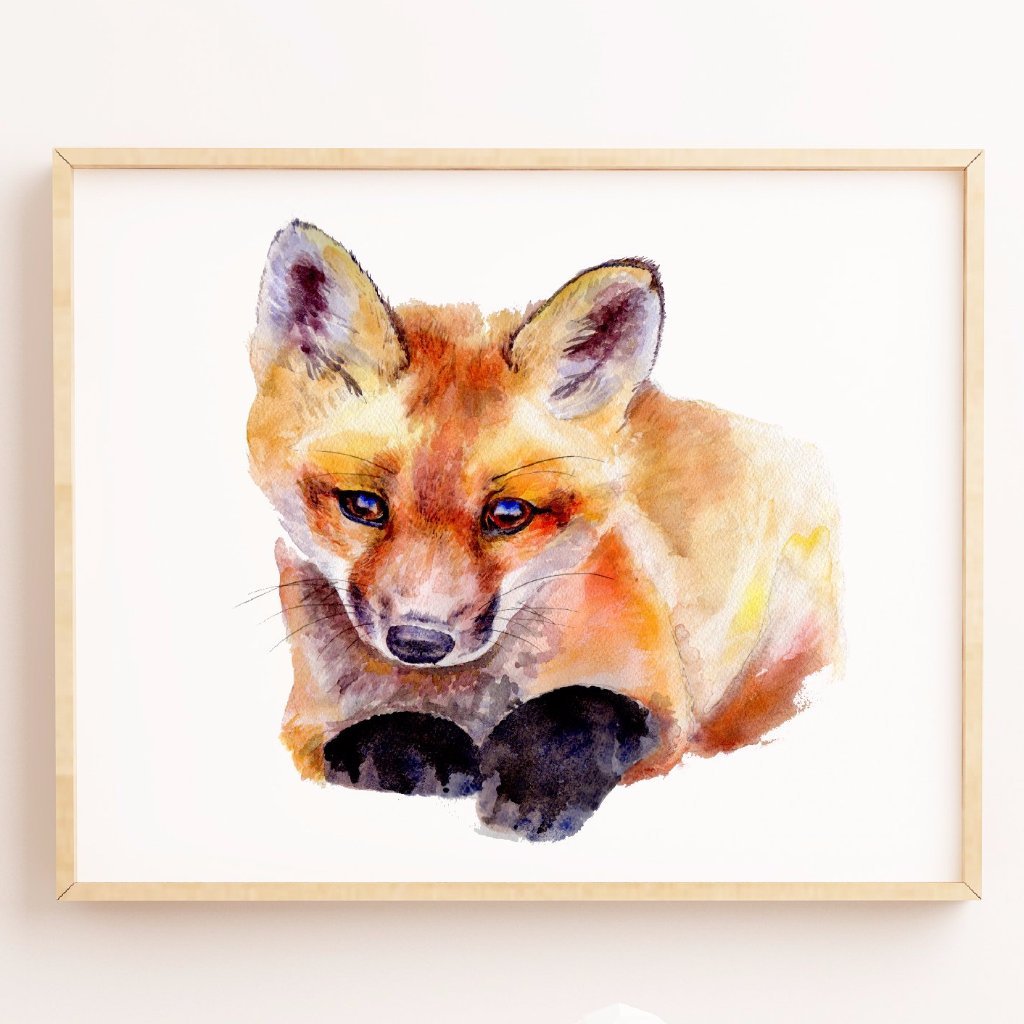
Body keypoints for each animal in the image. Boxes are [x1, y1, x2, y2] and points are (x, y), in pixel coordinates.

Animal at [246, 220, 841, 841]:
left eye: (509, 514)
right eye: (363, 506)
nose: (419, 641)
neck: (469, 697)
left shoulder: (665, 704)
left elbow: (583, 706)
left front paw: (533, 788)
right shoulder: (306, 727)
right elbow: (376, 734)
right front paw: (436, 755)